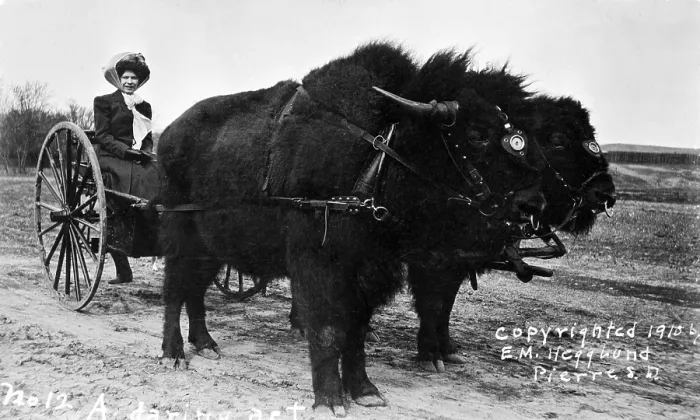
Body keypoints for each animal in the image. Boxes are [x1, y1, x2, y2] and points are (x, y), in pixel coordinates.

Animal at [156, 42, 549, 413]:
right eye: (477, 134)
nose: (534, 203)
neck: (379, 155)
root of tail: (168, 134)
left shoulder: (370, 272)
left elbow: (356, 330)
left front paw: (365, 391)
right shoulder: (319, 265)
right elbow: (329, 328)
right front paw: (330, 399)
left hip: (211, 249)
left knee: (195, 290)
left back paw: (206, 345)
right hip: (181, 237)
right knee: (176, 290)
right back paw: (174, 353)